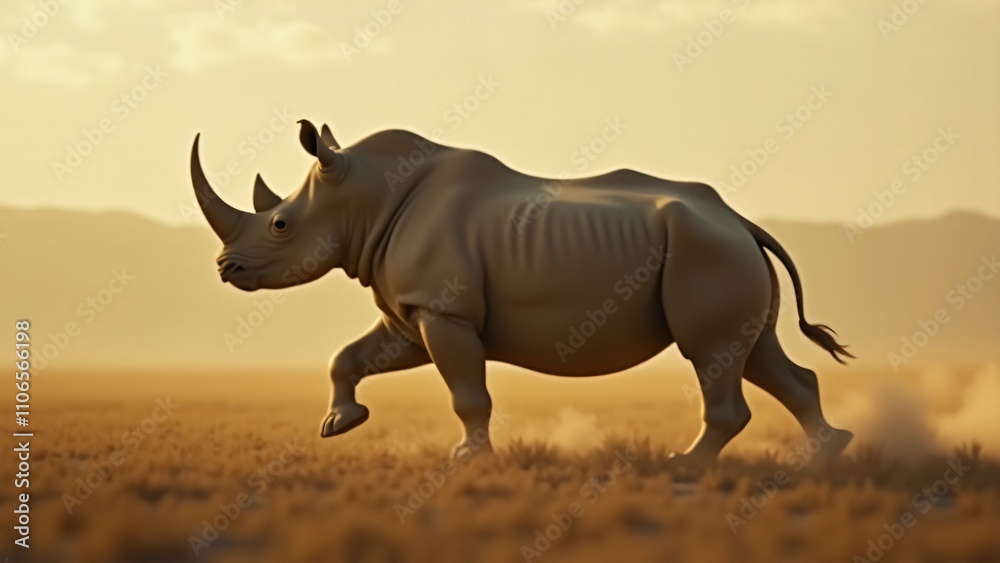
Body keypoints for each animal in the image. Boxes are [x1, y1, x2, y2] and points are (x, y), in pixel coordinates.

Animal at [190, 119, 854, 461]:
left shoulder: (444, 309)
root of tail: (741, 220)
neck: (365, 198)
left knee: (712, 353)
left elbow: (468, 393)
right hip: (725, 252)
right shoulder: (416, 312)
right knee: (756, 352)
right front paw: (339, 425)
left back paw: (685, 469)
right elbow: (349, 356)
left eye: (280, 224)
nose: (225, 268)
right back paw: (825, 456)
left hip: (706, 251)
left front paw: (470, 459)